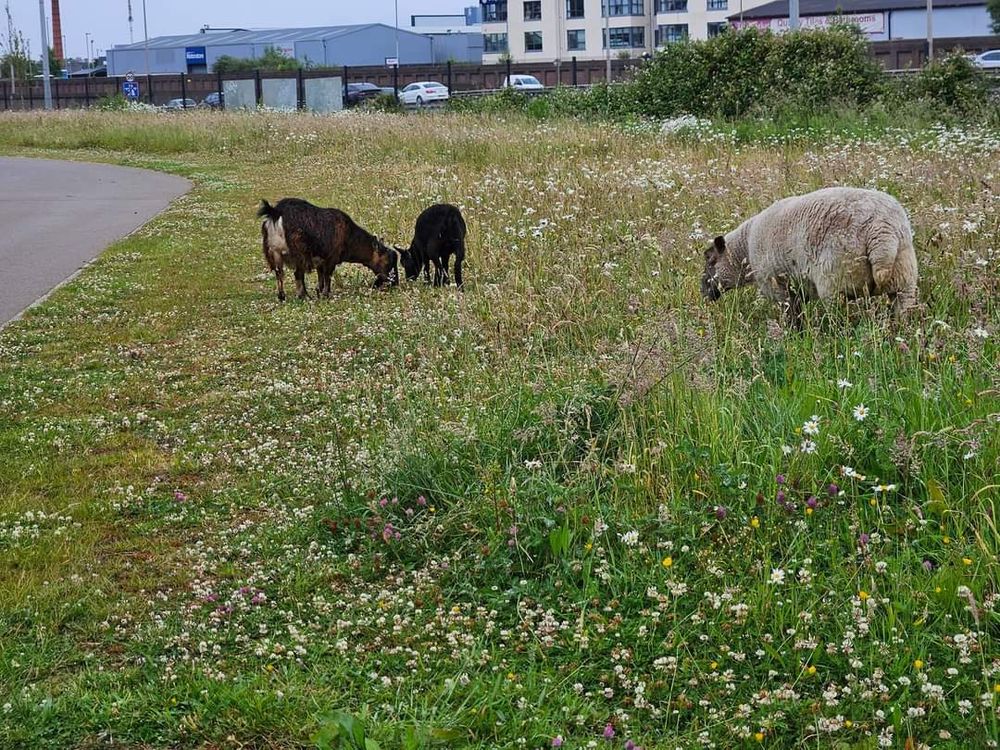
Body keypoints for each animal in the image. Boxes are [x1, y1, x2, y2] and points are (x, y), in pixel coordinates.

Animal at [700, 187, 916, 328]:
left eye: (710, 260)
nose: (703, 292)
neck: (744, 250)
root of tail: (881, 230)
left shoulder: (780, 288)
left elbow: (792, 316)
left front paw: (795, 334)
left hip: (835, 281)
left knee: (839, 317)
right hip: (904, 276)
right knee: (903, 310)